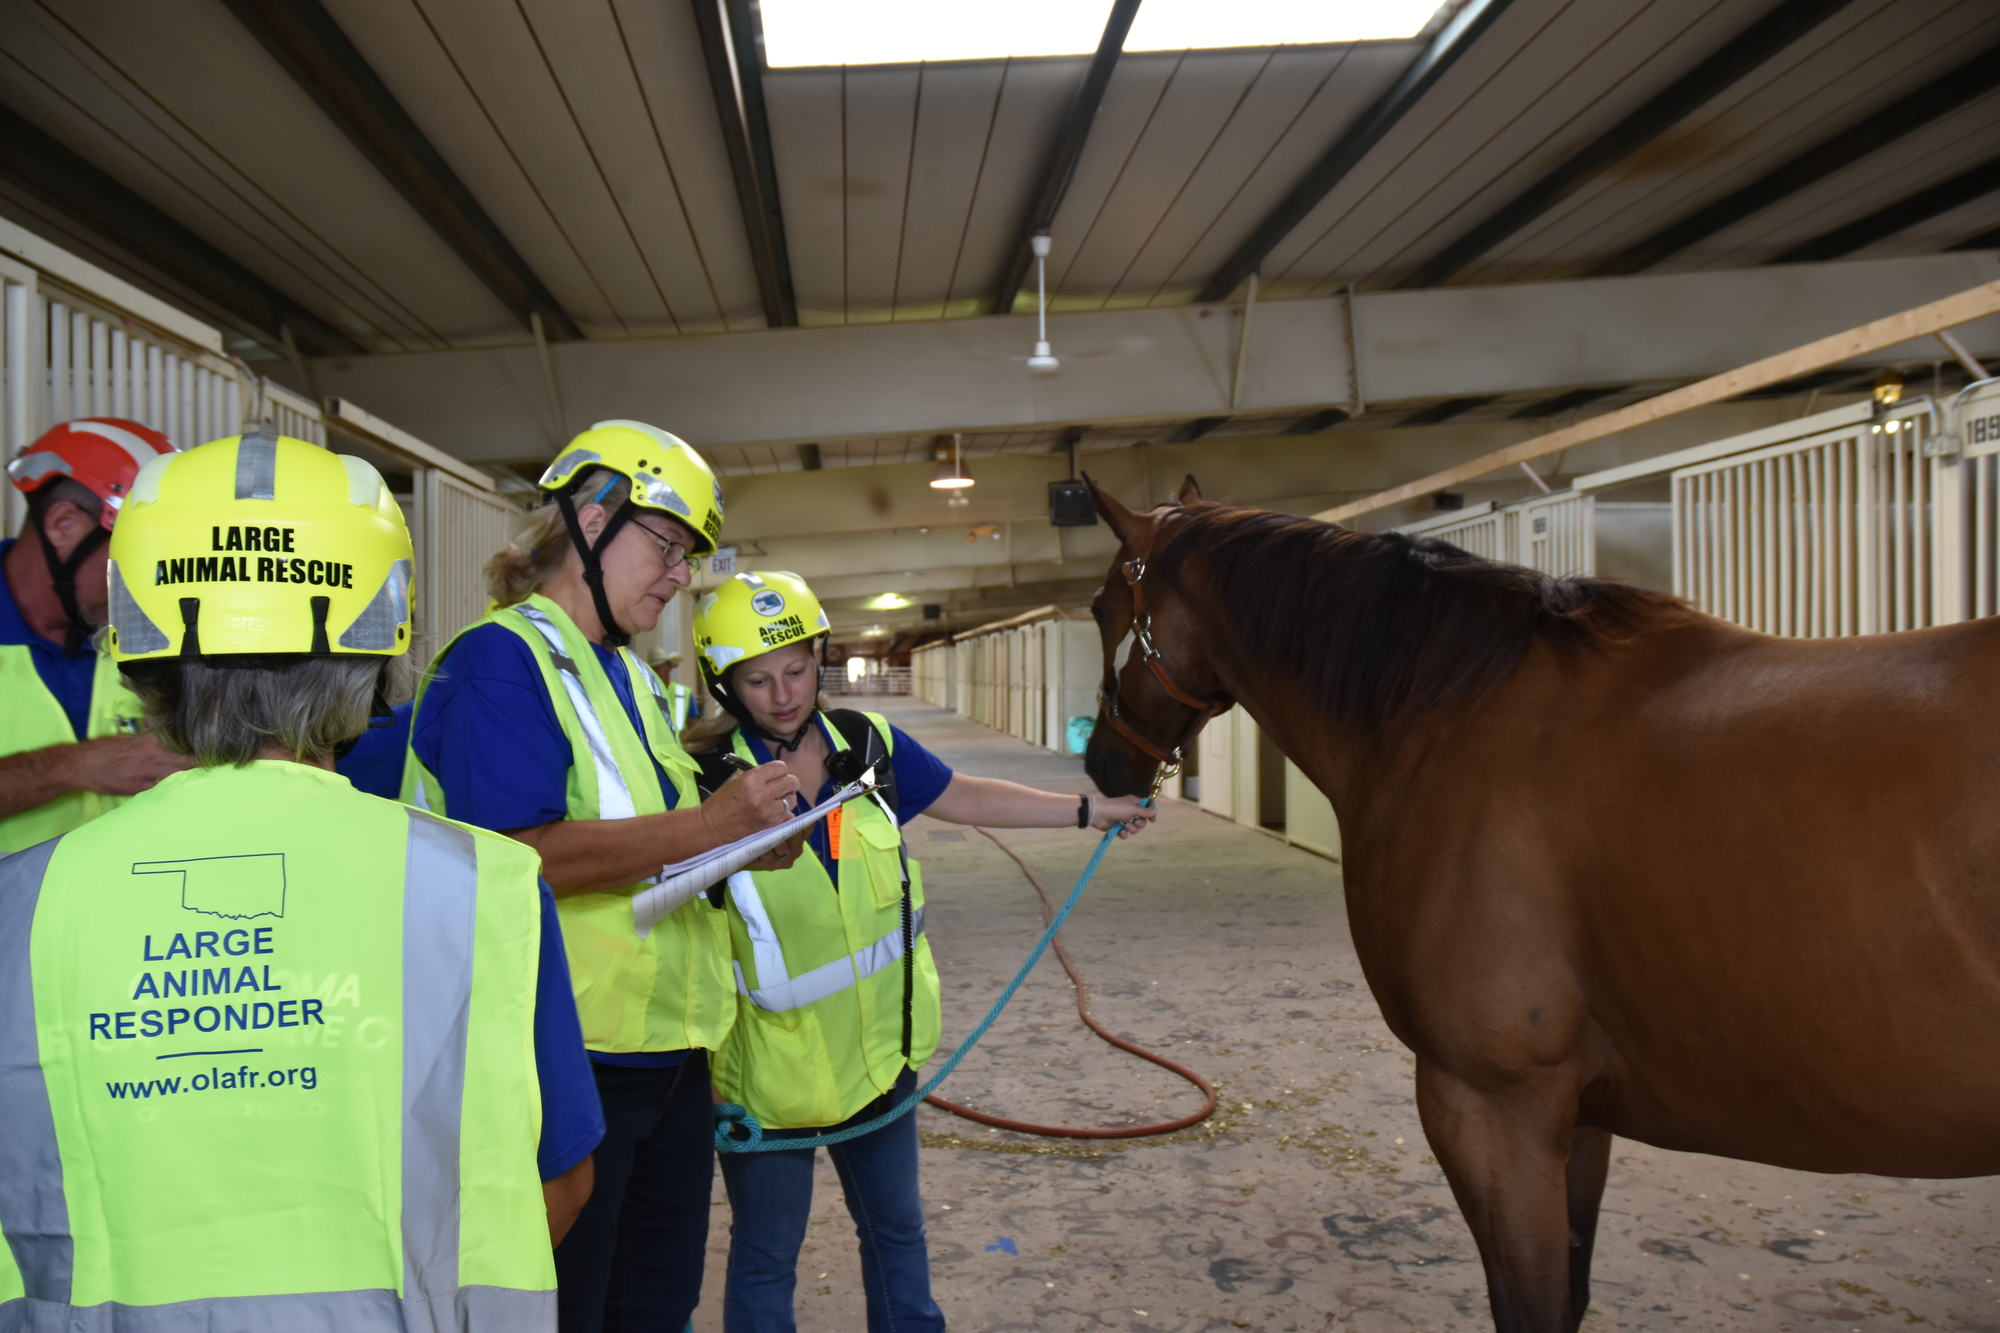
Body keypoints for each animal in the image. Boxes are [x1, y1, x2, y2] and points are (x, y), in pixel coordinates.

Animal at [1088, 474, 2000, 1328]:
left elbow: (1528, 1303)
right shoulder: (1583, 1114)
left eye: (1100, 606)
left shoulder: (1494, 1108)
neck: (1442, 710)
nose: (1101, 764)